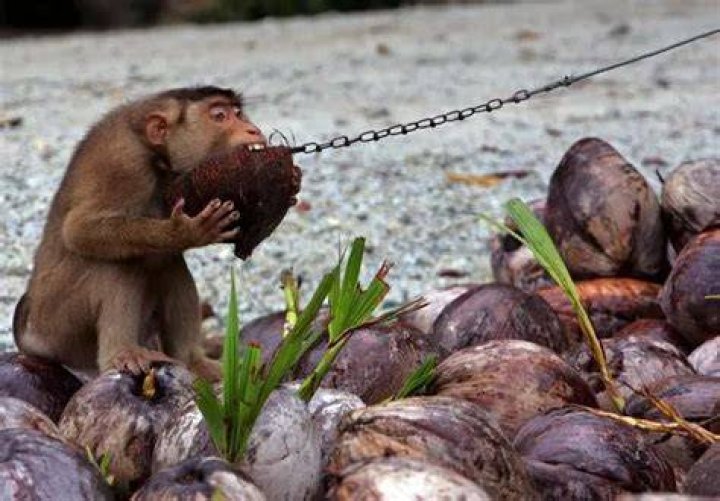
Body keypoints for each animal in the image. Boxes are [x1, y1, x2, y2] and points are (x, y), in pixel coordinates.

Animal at [13, 86, 275, 381]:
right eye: (219, 116)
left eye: (238, 113)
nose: (253, 129)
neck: (154, 153)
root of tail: (31, 332)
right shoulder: (124, 164)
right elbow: (79, 230)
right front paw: (181, 233)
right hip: (60, 325)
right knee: (116, 264)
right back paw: (121, 352)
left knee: (169, 265)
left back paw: (193, 361)